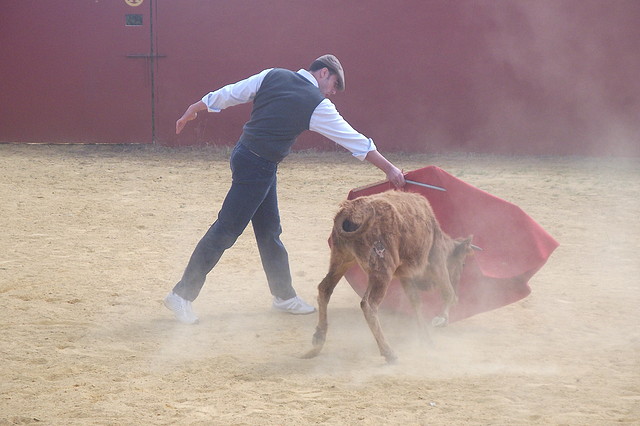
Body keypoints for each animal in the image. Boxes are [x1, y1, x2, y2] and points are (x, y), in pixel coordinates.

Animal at [302, 191, 472, 362]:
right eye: (463, 264)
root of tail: (350, 212)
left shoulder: (405, 275)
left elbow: (415, 301)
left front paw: (426, 338)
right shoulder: (437, 261)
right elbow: (448, 292)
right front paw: (441, 319)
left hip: (343, 260)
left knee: (325, 288)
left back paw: (318, 341)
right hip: (383, 271)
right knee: (369, 304)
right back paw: (389, 352)